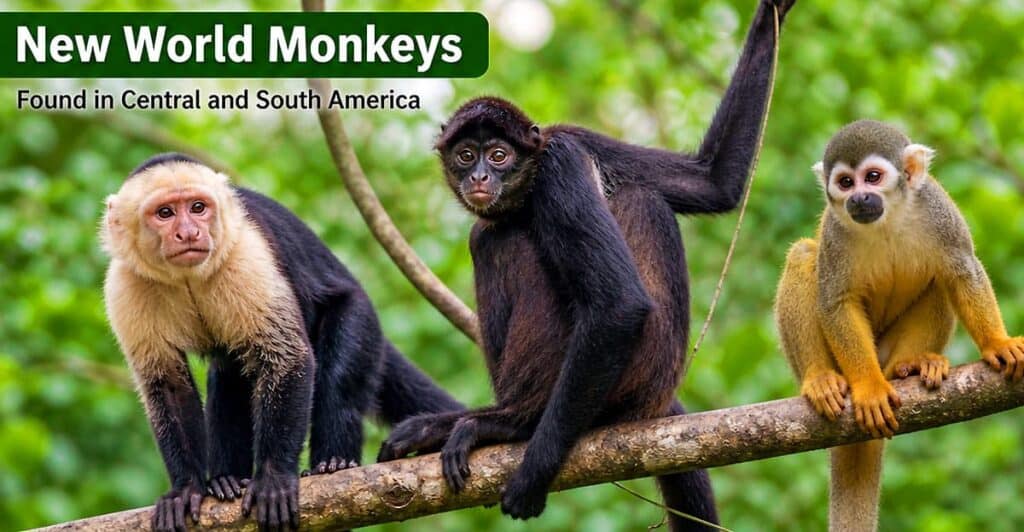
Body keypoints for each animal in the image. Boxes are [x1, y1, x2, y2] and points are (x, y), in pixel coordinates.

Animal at [100, 153, 462, 532]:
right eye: (165, 213)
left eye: (198, 207)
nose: (188, 233)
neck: (187, 277)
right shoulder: (124, 285)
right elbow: (167, 384)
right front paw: (186, 488)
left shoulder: (246, 258)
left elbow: (287, 358)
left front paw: (273, 479)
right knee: (229, 378)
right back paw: (227, 480)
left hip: (360, 316)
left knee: (339, 376)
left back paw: (334, 464)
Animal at [377, 1, 797, 529]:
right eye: (466, 155)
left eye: (499, 156)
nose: (479, 177)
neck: (531, 179)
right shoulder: (573, 136)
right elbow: (712, 182)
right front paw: (772, 13)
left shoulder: (560, 161)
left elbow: (619, 304)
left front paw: (530, 469)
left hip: (626, 376)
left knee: (495, 237)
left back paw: (512, 421)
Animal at [773, 120, 1024, 532]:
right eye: (845, 182)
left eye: (873, 177)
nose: (859, 198)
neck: (887, 220)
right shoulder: (835, 237)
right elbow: (836, 302)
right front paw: (870, 387)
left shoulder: (936, 208)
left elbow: (961, 271)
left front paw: (998, 343)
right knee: (804, 253)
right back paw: (821, 378)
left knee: (938, 279)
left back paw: (911, 365)